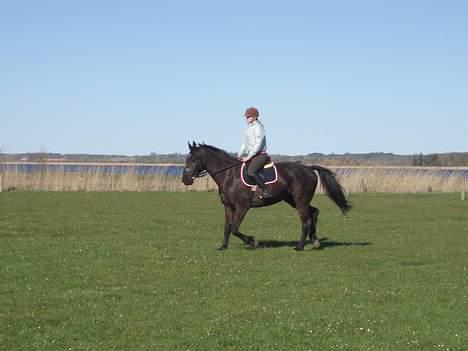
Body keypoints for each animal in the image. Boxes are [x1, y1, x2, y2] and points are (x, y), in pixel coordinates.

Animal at [183, 142, 352, 252]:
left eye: (194, 159)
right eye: (187, 159)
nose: (185, 180)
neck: (229, 175)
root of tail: (308, 168)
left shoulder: (242, 207)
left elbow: (235, 228)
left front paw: (253, 241)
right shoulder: (228, 207)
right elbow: (227, 228)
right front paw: (223, 247)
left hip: (300, 201)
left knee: (306, 220)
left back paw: (300, 246)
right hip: (292, 200)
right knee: (314, 212)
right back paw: (315, 241)